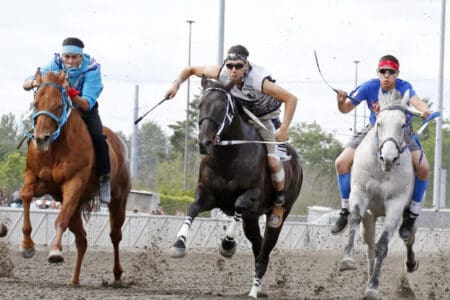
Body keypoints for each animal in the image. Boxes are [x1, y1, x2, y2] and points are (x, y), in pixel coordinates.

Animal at [20, 69, 131, 284]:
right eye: (36, 103)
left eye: (59, 105)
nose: (41, 139)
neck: (56, 147)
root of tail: (121, 146)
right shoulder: (37, 179)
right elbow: (26, 195)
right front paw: (27, 245)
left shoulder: (73, 184)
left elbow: (60, 221)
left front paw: (55, 251)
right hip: (77, 207)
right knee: (82, 239)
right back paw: (74, 279)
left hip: (118, 200)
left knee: (115, 236)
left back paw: (117, 275)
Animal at [169, 77, 302, 298]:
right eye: (201, 104)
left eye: (223, 107)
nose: (204, 142)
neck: (229, 156)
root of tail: (298, 162)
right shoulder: (207, 195)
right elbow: (192, 208)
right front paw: (179, 244)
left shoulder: (252, 196)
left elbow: (238, 205)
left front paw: (227, 244)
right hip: (251, 219)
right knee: (258, 247)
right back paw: (258, 287)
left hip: (278, 215)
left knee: (265, 251)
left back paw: (254, 291)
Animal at [342, 89, 418, 300]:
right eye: (379, 123)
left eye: (403, 124)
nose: (388, 157)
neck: (381, 169)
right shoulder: (359, 193)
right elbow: (354, 220)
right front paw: (347, 260)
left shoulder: (395, 205)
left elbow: (383, 246)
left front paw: (374, 287)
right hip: (370, 218)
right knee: (369, 248)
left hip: (408, 217)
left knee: (408, 237)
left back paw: (410, 264)